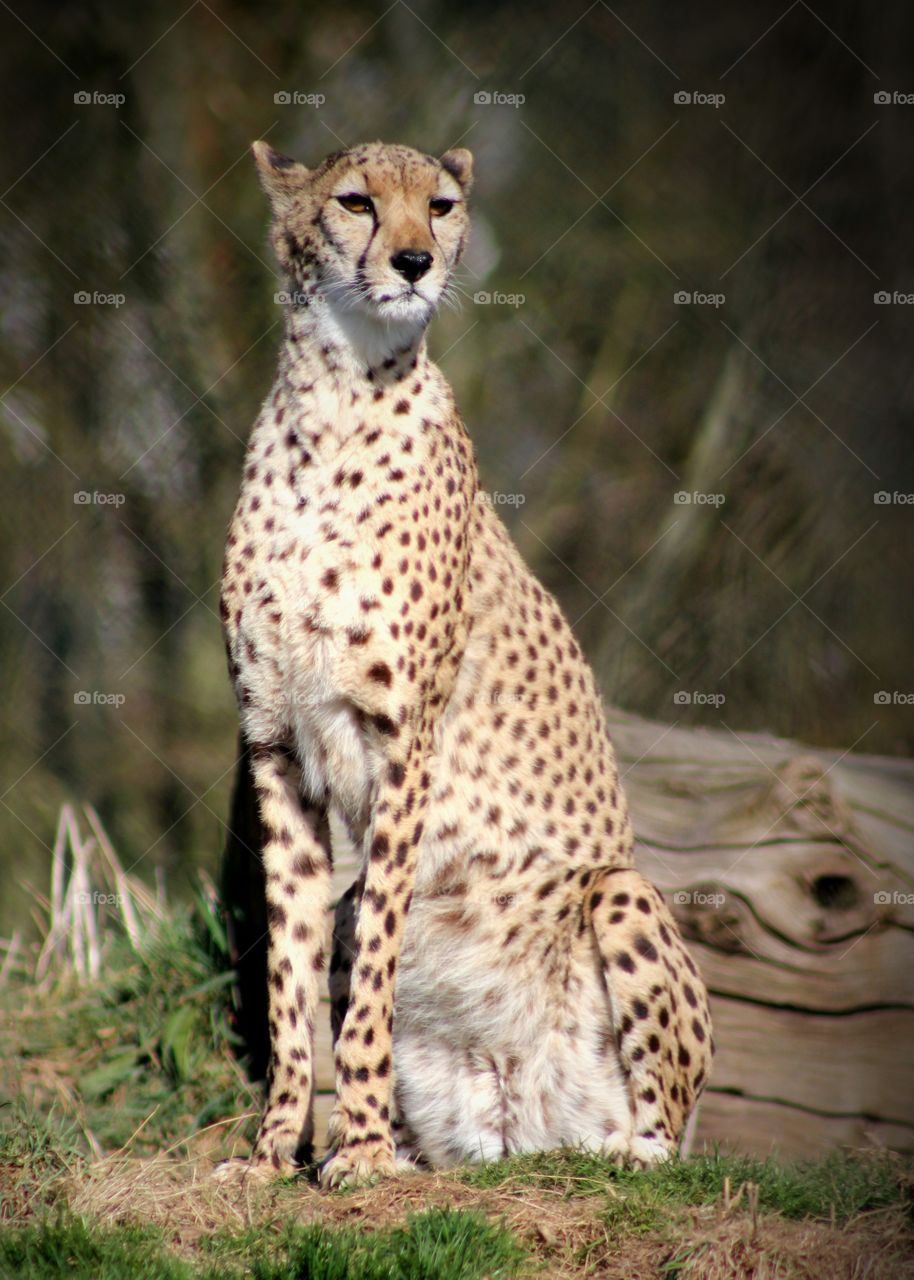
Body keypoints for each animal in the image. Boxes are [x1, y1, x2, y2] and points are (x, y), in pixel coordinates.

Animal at [219, 138, 713, 1190]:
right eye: (355, 202)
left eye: (441, 206)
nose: (414, 262)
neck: (336, 400)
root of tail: (523, 1126)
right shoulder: (275, 743)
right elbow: (290, 977)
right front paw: (277, 1149)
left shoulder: (403, 744)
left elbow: (372, 975)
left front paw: (360, 1149)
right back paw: (418, 1149)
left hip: (623, 891)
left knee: (667, 1135)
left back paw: (620, 1152)